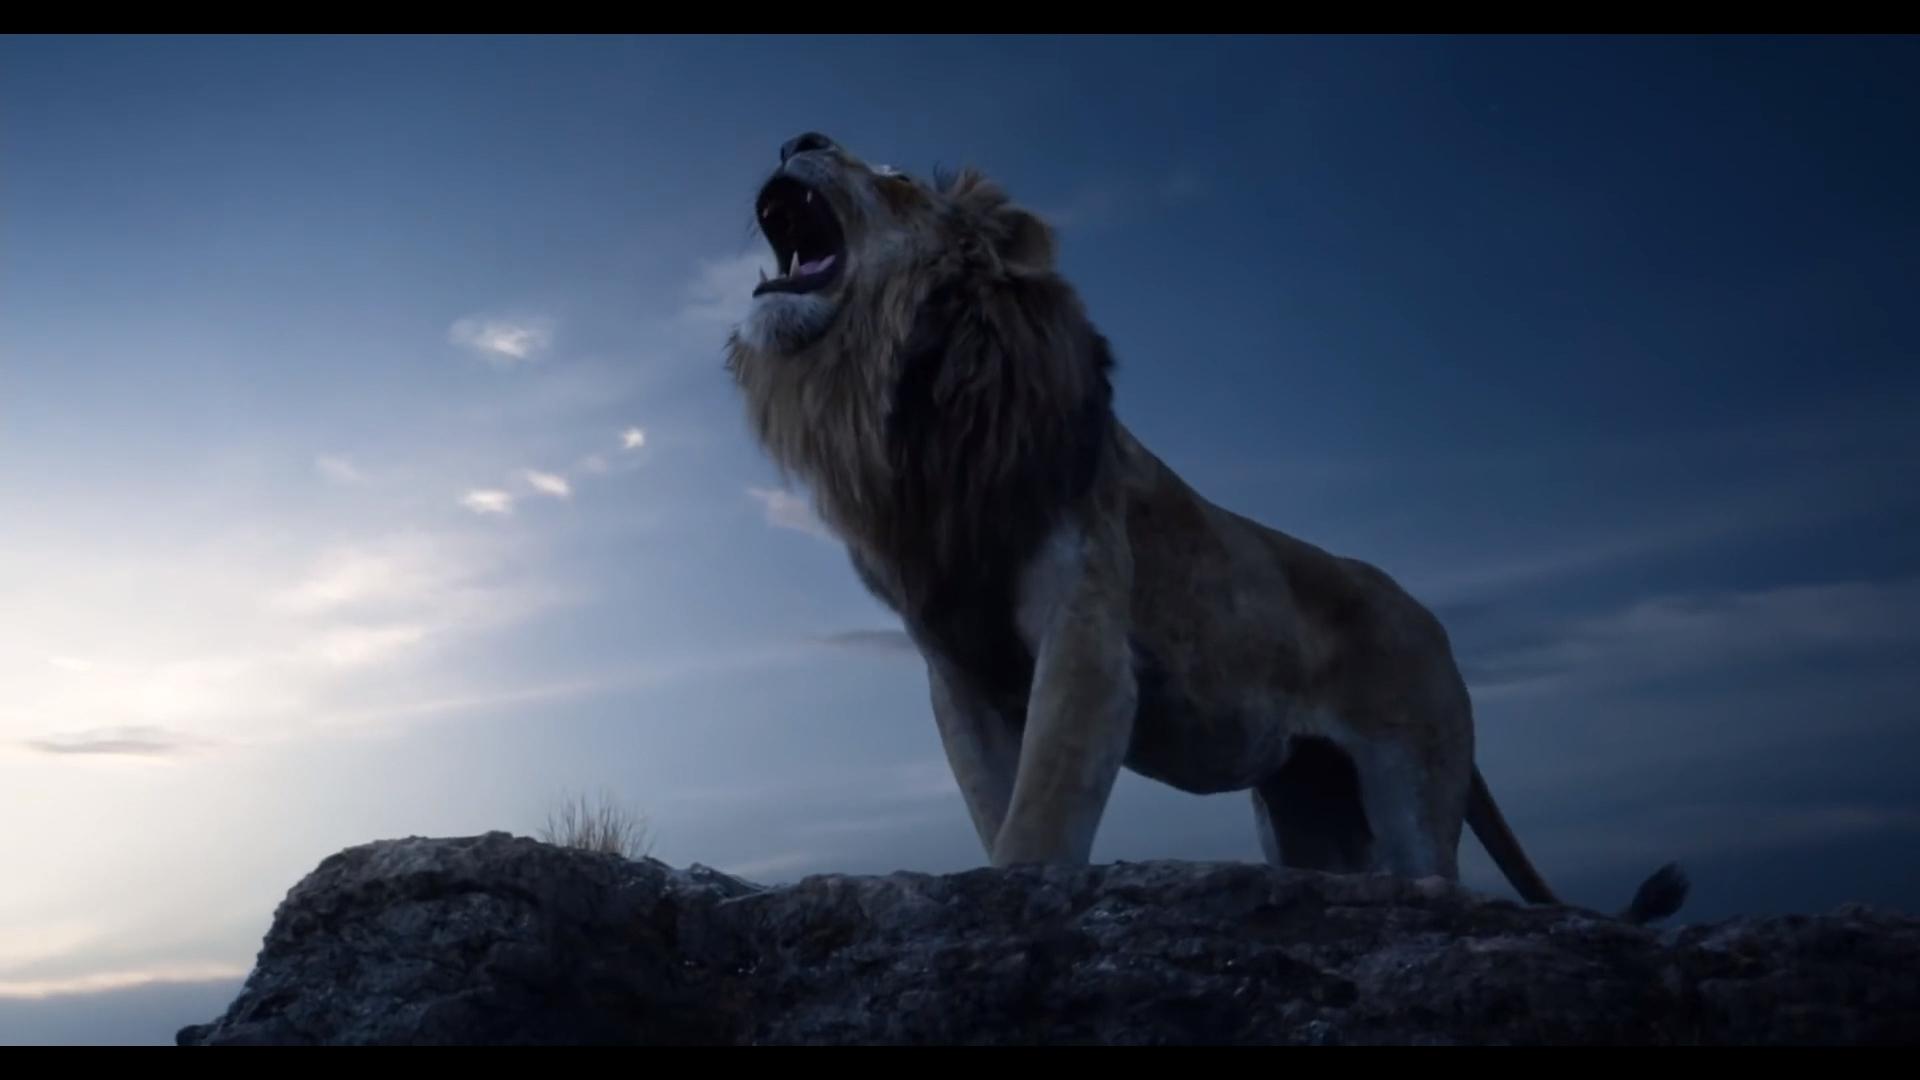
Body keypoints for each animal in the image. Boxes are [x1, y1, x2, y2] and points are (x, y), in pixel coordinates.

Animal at [724, 131, 1689, 925]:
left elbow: (1037, 819)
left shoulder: (1088, 639)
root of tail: (1432, 620)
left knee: (1432, 873)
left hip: (1414, 785)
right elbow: (995, 808)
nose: (799, 136)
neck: (901, 404)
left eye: (890, 178)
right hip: (1307, 809)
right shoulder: (959, 673)